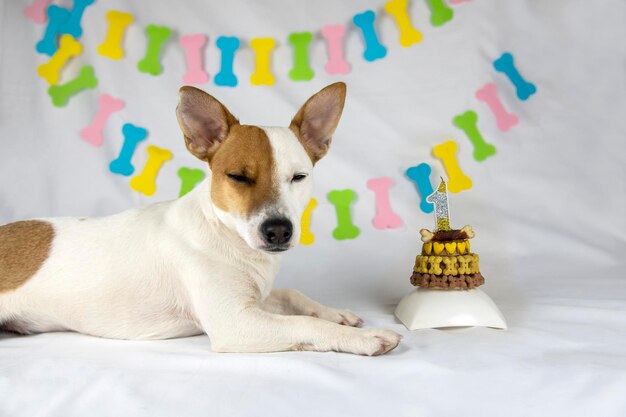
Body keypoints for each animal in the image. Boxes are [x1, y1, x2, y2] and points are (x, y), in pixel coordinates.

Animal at [0, 83, 400, 354]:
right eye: (238, 176)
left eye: (298, 177)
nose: (278, 231)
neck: (226, 234)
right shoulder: (234, 322)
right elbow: (302, 324)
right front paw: (362, 337)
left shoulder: (254, 300)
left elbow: (292, 295)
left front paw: (335, 313)